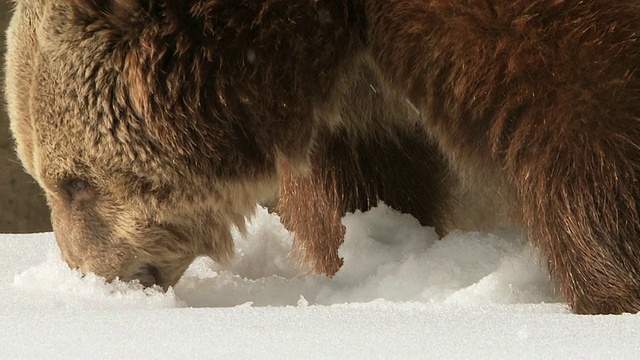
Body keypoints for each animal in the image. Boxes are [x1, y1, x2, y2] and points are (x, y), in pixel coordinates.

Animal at [6, 0, 640, 314]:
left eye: (75, 183)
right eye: (44, 177)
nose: (89, 274)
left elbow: (583, 106)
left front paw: (608, 288)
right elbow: (360, 187)